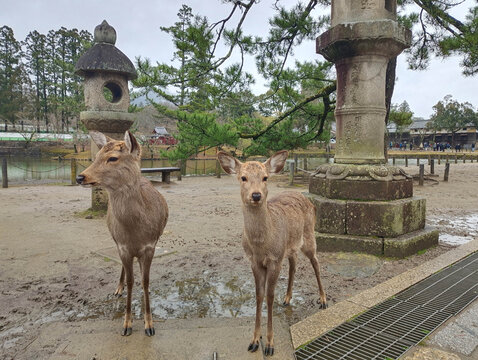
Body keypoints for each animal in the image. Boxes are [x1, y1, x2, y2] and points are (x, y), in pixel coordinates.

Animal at [76, 131, 168, 336]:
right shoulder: (123, 247)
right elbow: (131, 281)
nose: (80, 177)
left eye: (113, 158)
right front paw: (127, 325)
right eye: (96, 156)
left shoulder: (150, 246)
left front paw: (149, 325)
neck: (135, 233)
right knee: (124, 271)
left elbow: (145, 281)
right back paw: (118, 288)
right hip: (116, 240)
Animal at [218, 150, 326, 356]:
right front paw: (254, 341)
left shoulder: (275, 259)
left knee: (316, 262)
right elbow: (259, 295)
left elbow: (269, 296)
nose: (256, 195)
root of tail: (309, 201)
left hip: (309, 236)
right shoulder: (254, 261)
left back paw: (323, 299)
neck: (261, 246)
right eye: (243, 177)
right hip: (290, 246)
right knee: (294, 264)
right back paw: (287, 298)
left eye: (265, 177)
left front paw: (269, 344)